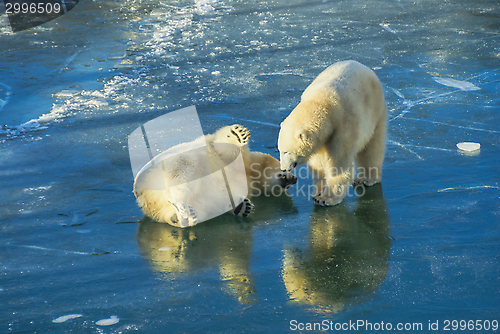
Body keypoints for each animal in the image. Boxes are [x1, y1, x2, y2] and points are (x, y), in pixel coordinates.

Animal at [134, 124, 296, 228]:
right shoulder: (221, 153)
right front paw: (238, 133)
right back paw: (181, 205)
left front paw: (243, 207)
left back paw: (181, 217)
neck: (247, 171)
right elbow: (224, 147)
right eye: (285, 168)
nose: (294, 179)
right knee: (181, 177)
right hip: (172, 165)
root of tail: (143, 196)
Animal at [278, 60, 386, 206]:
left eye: (286, 151)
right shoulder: (321, 140)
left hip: (375, 111)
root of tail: (362, 66)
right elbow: (318, 165)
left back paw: (367, 179)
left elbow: (339, 164)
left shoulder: (343, 127)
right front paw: (316, 192)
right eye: (279, 150)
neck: (322, 102)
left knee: (373, 147)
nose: (283, 169)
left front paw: (326, 199)